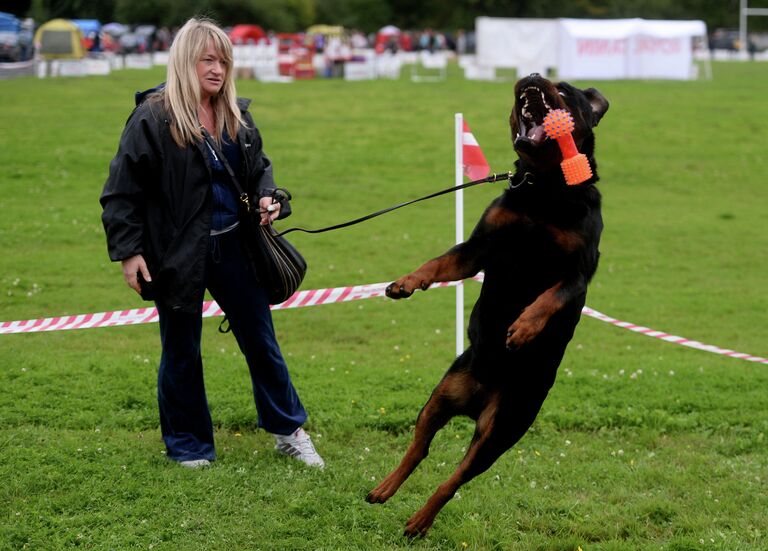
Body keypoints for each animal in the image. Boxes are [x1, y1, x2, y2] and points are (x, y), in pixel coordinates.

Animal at [368, 75, 612, 536]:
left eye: (565, 88)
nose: (531, 77)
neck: (544, 188)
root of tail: (478, 399)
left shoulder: (578, 276)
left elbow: (548, 298)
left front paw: (523, 328)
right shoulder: (478, 249)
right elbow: (438, 262)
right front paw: (406, 283)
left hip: (502, 429)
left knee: (453, 479)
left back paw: (420, 520)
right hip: (440, 397)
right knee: (419, 449)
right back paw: (384, 489)